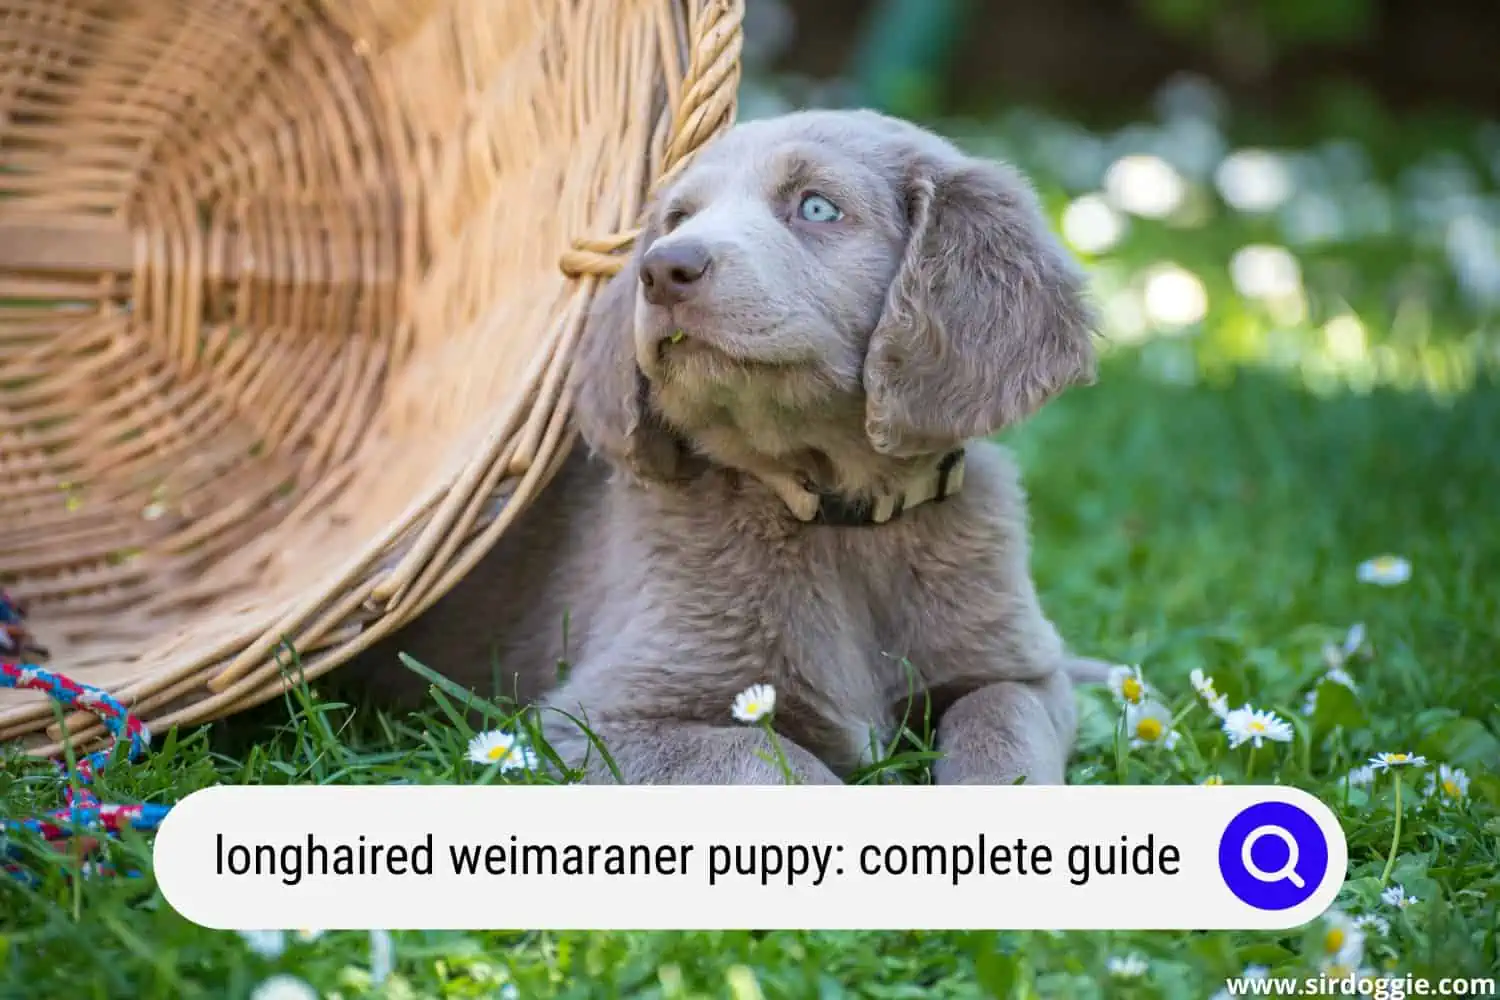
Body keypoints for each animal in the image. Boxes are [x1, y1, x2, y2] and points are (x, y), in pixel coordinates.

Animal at [360, 107, 1116, 779]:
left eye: (817, 208)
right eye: (675, 219)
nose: (664, 269)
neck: (841, 520)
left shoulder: (1015, 669)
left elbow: (1002, 730)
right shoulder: (595, 722)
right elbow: (773, 760)